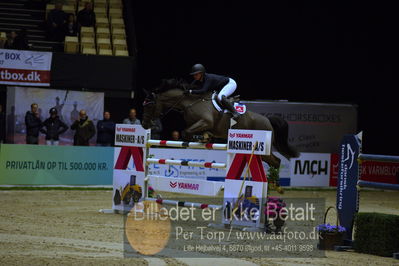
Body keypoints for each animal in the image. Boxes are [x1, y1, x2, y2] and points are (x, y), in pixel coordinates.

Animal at [141, 78, 300, 168]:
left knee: (276, 161)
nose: (144, 124)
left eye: (149, 105)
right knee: (274, 161)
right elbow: (189, 132)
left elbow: (186, 132)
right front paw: (205, 138)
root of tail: (268, 120)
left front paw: (202, 139)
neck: (188, 102)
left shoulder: (206, 121)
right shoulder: (198, 124)